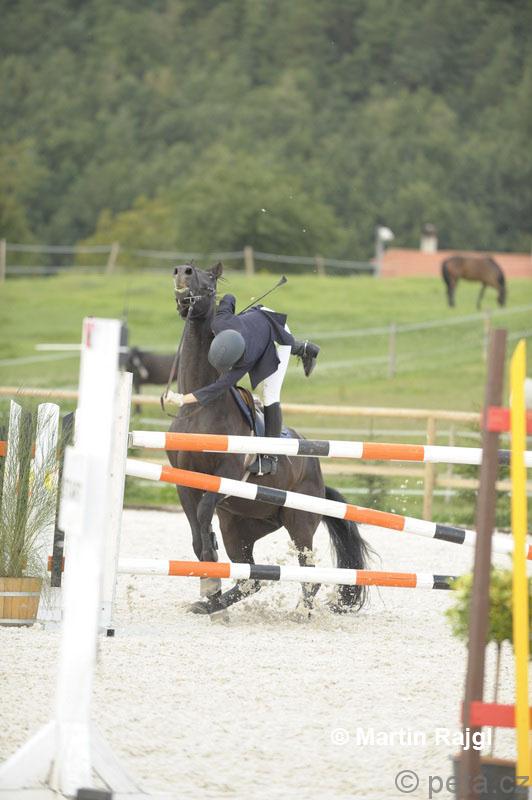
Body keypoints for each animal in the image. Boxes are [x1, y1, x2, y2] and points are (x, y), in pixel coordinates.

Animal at [166, 262, 371, 616]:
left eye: (208, 282)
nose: (183, 272)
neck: (201, 407)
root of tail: (317, 472)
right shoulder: (184, 479)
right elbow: (196, 529)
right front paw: (208, 578)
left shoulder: (228, 472)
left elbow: (205, 511)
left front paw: (210, 563)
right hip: (240, 523)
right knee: (255, 577)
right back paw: (212, 604)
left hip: (299, 520)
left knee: (308, 574)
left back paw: (300, 613)